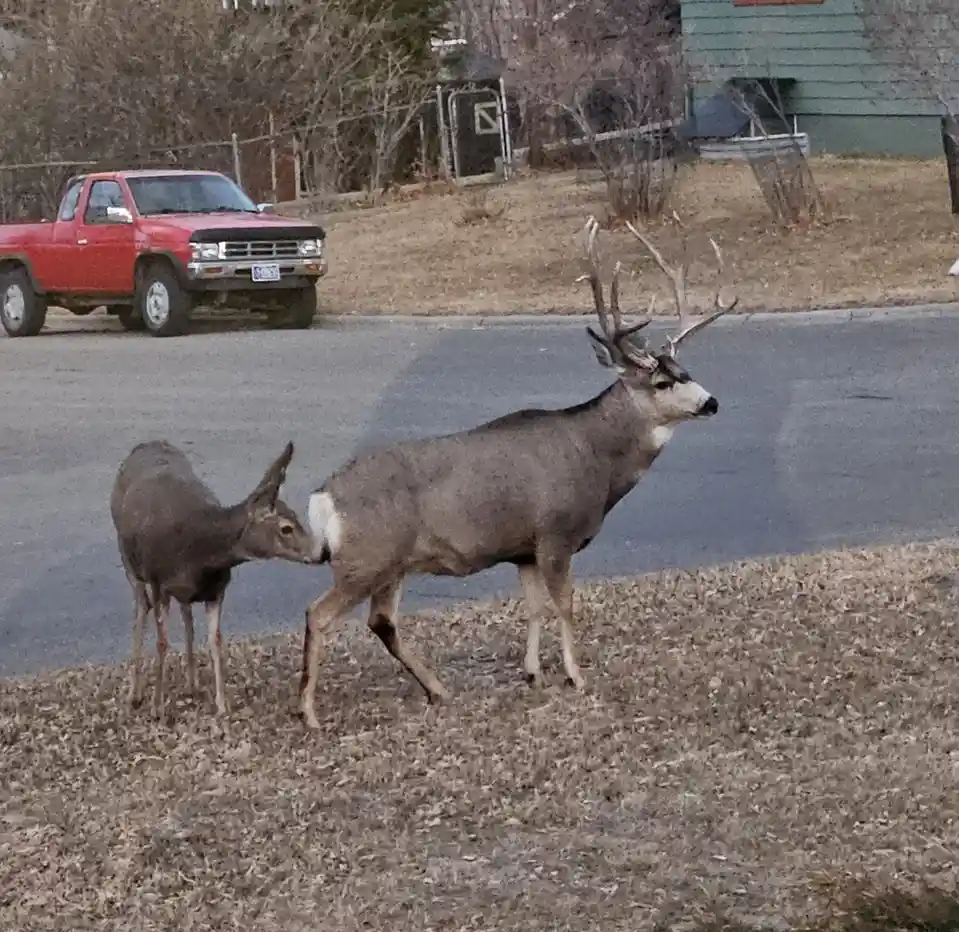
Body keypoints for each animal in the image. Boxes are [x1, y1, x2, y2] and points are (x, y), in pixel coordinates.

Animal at [110, 439, 317, 719]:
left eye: (297, 516)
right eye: (286, 527)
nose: (318, 551)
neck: (197, 553)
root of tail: (145, 444)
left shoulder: (217, 588)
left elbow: (216, 640)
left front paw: (221, 705)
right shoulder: (158, 581)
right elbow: (162, 642)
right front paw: (157, 707)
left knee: (186, 614)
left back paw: (192, 683)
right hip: (129, 562)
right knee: (141, 608)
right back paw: (135, 693)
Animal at [297, 214, 738, 730]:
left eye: (686, 369)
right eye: (663, 381)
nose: (711, 402)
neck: (595, 457)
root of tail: (323, 497)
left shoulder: (523, 549)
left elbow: (533, 608)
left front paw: (533, 673)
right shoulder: (554, 534)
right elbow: (565, 605)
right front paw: (575, 675)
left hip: (392, 563)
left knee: (381, 621)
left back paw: (438, 689)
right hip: (367, 557)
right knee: (318, 614)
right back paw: (309, 712)